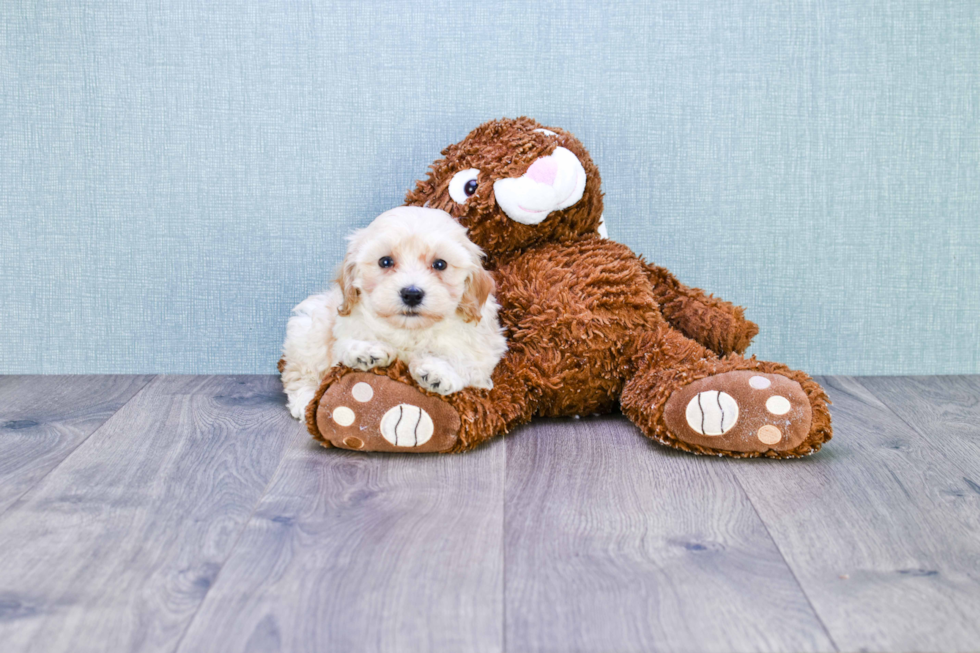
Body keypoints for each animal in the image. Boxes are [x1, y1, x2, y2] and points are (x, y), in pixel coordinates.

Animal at [278, 205, 502, 418]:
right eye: (385, 261)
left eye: (440, 264)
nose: (411, 294)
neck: (409, 331)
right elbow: (345, 346)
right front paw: (366, 351)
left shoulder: (482, 351)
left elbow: (463, 360)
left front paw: (437, 370)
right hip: (309, 328)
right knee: (300, 373)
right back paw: (305, 402)